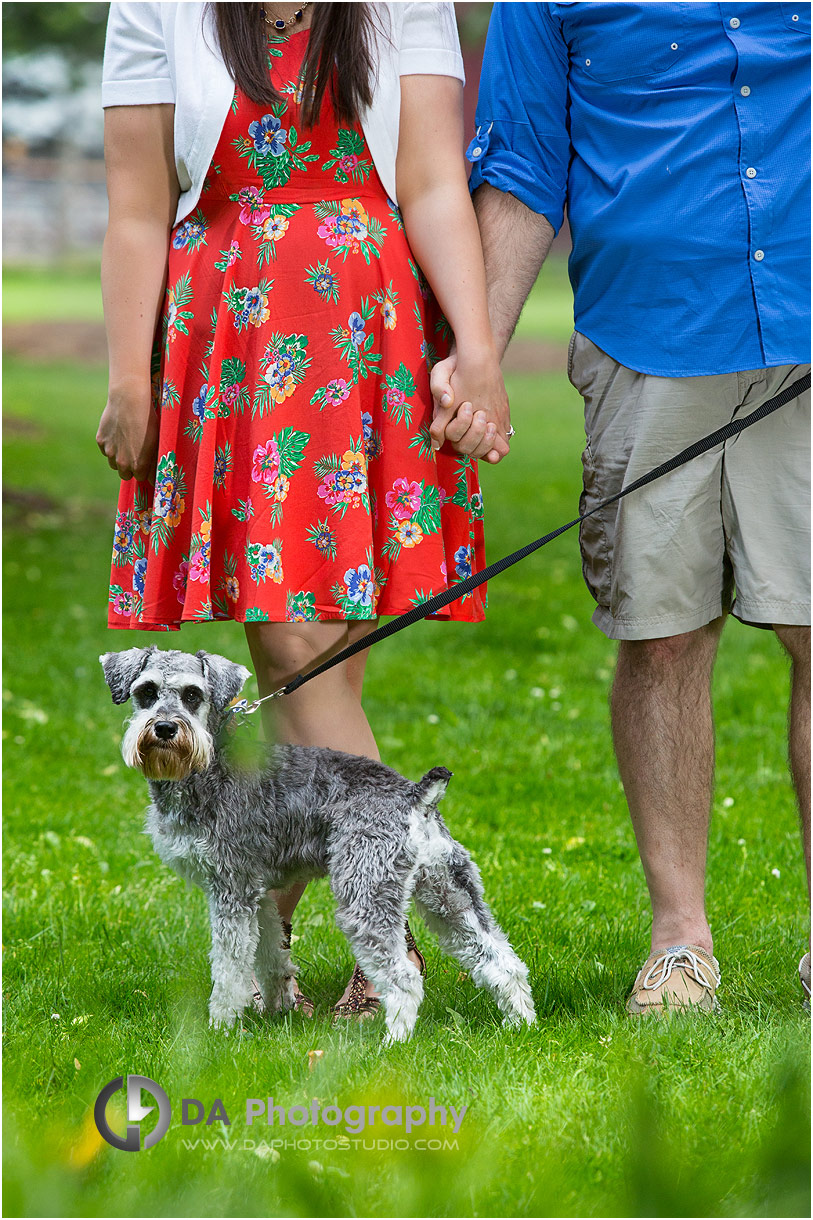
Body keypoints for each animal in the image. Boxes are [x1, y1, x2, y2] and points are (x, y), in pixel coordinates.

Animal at [99, 644, 532, 1044]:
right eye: (147, 691)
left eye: (193, 695)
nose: (165, 728)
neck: (208, 763)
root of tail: (416, 797)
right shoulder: (260, 897)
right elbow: (272, 955)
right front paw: (280, 1007)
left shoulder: (231, 893)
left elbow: (229, 970)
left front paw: (220, 1029)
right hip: (451, 895)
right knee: (502, 960)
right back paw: (521, 1025)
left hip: (365, 897)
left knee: (405, 978)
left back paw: (393, 1043)